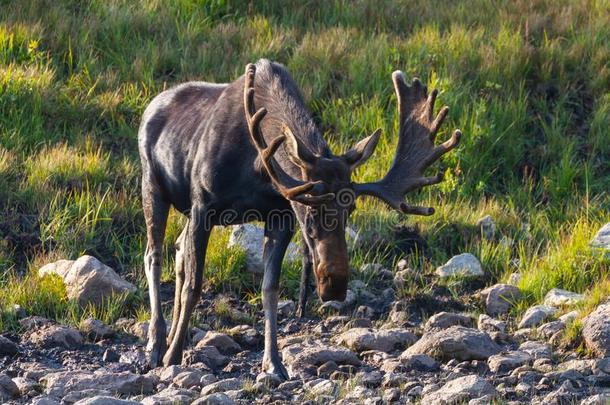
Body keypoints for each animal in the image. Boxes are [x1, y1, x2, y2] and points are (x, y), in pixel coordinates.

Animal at [138, 58, 458, 378]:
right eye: (309, 205)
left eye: (351, 208)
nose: (335, 285)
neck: (255, 165)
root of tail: (150, 107)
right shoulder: (203, 205)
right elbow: (194, 286)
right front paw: (172, 356)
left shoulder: (280, 215)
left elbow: (270, 288)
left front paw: (274, 363)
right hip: (153, 185)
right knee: (153, 255)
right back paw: (156, 344)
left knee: (179, 249)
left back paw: (171, 337)